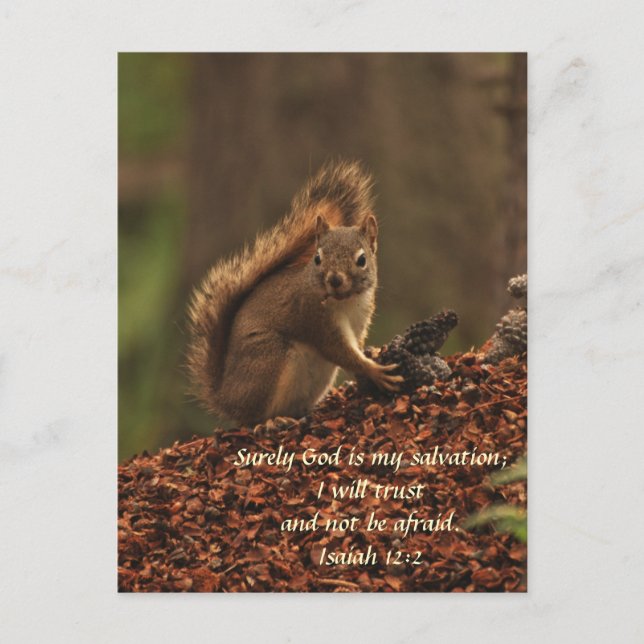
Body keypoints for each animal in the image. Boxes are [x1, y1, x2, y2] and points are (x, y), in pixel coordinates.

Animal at [187, 160, 402, 425]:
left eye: (362, 260)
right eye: (317, 258)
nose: (335, 280)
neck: (346, 301)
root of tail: (226, 398)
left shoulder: (361, 319)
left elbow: (356, 345)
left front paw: (372, 353)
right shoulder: (314, 318)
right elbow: (337, 350)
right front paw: (375, 371)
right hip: (268, 359)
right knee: (253, 417)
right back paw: (271, 422)